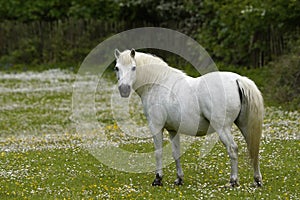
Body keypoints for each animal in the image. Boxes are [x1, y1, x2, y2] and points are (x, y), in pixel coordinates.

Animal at [113, 48, 264, 188]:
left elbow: (158, 152)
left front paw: (158, 179)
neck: (157, 83)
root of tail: (238, 80)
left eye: (133, 67)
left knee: (232, 148)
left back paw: (233, 181)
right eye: (117, 68)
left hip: (222, 128)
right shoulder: (172, 130)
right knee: (253, 149)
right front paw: (179, 179)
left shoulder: (156, 126)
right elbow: (176, 153)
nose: (124, 90)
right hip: (244, 126)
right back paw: (257, 180)